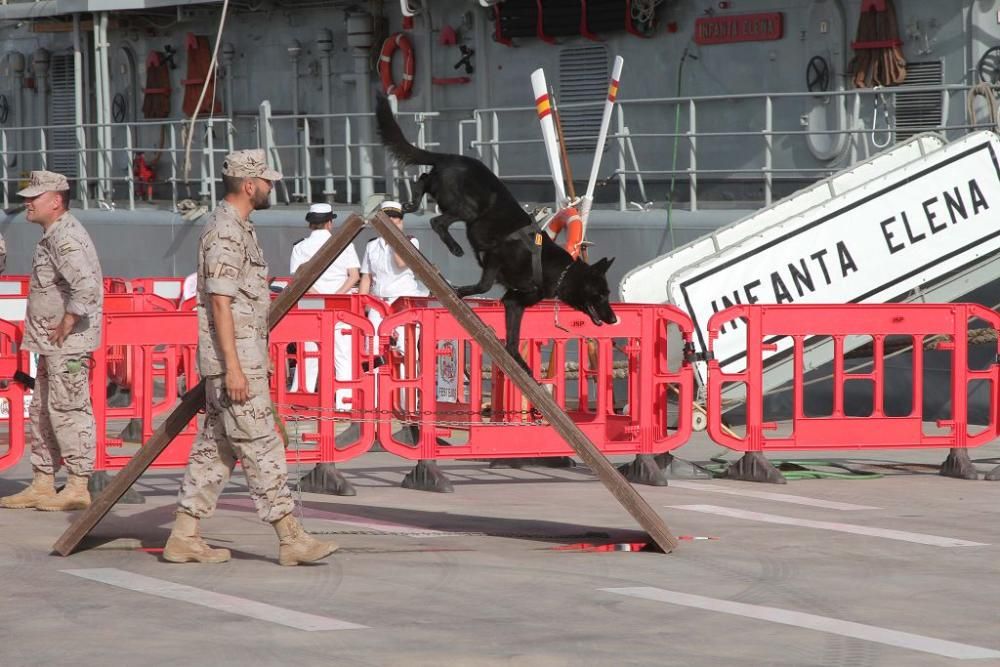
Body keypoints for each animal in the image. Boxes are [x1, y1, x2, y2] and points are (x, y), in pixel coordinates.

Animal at [376, 94, 616, 370]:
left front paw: (519, 364)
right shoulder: (495, 257)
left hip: (449, 196)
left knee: (424, 179)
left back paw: (413, 204)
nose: (614, 320)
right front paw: (459, 292)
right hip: (469, 210)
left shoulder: (514, 301)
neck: (558, 271)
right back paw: (453, 245)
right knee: (436, 219)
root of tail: (451, 157)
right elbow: (484, 285)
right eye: (601, 294)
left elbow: (512, 338)